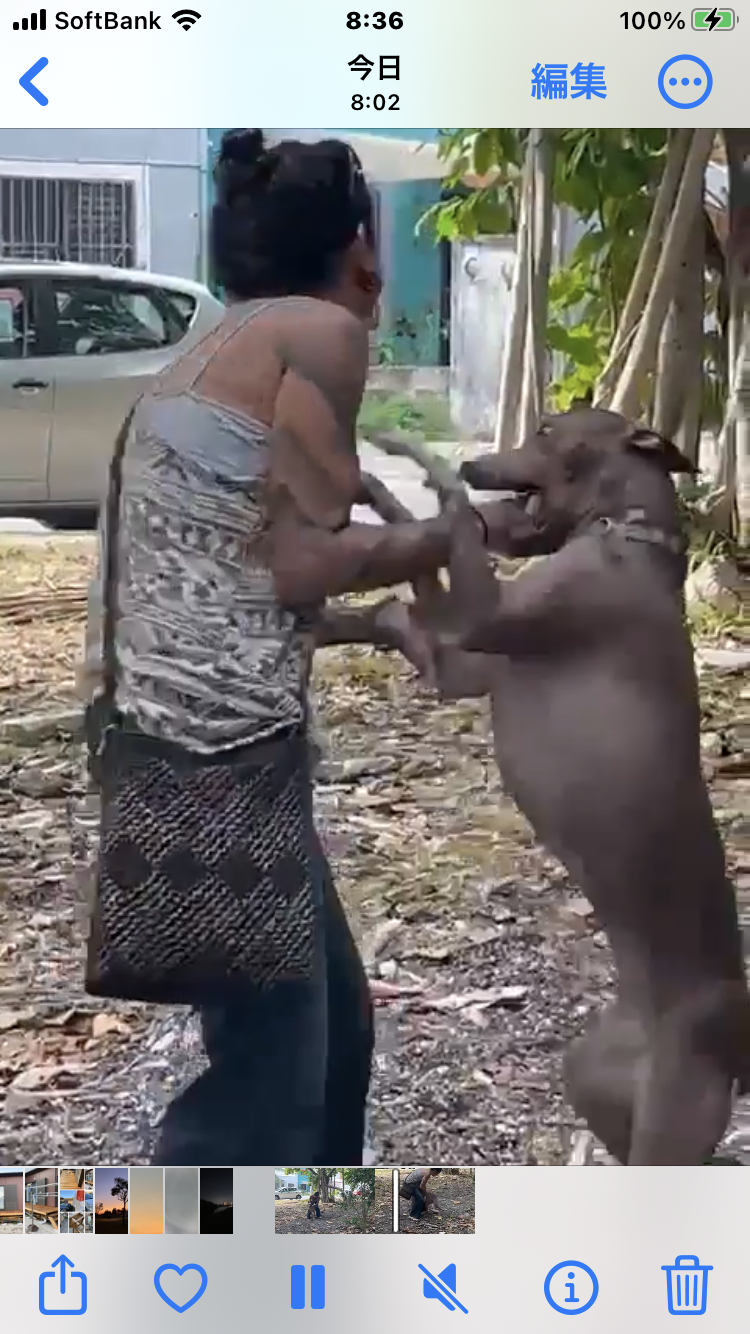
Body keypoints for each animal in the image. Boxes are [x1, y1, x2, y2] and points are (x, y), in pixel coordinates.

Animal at [358, 408, 750, 1166]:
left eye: (545, 428)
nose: (478, 462)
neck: (625, 536)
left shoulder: (479, 619)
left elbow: (451, 519)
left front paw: (407, 458)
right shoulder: (464, 667)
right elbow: (413, 588)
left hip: (669, 1124)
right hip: (592, 1080)